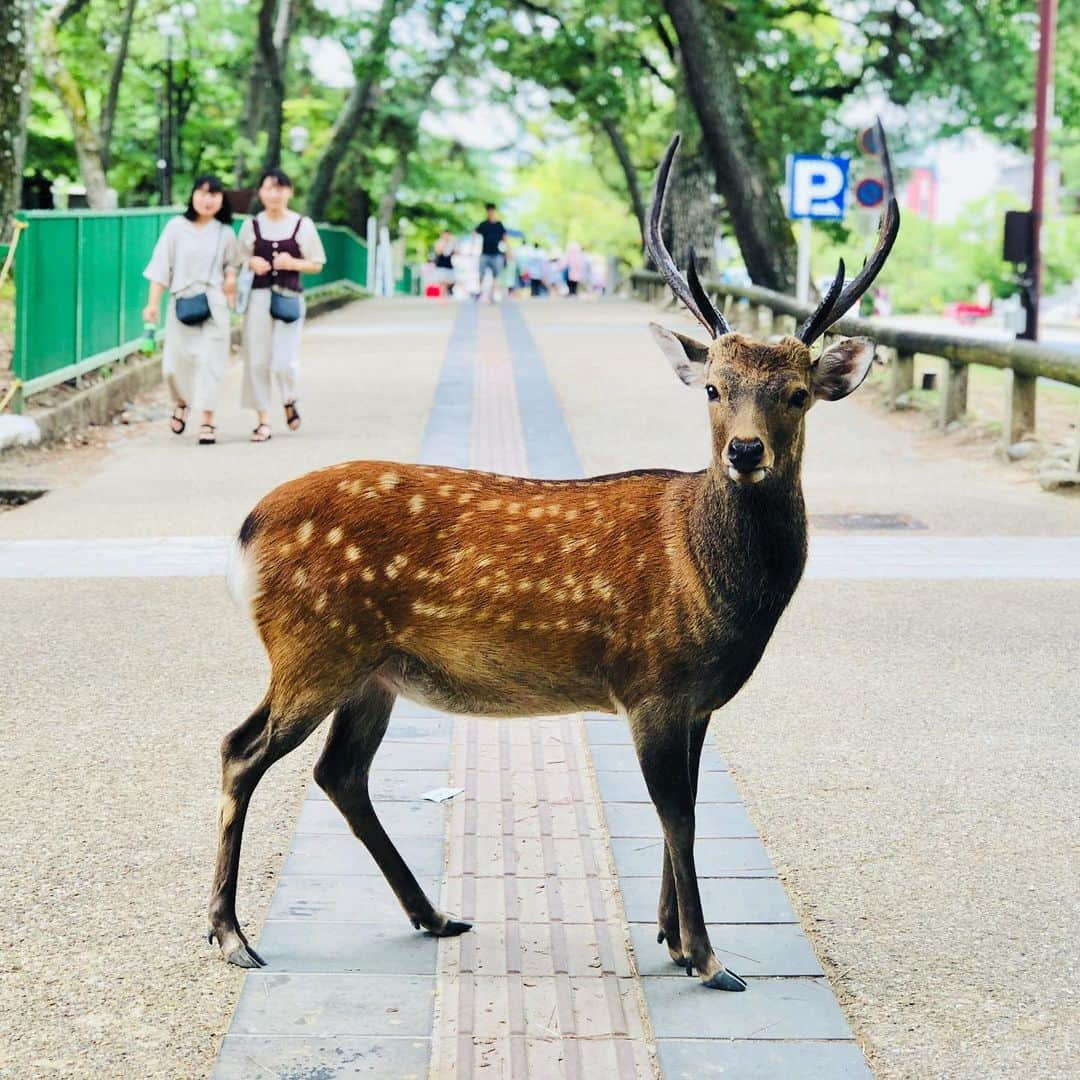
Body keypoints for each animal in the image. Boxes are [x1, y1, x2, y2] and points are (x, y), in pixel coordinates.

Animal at [206, 122, 898, 989]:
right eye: (713, 387)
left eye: (798, 395)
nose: (745, 452)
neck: (718, 592)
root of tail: (246, 529)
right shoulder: (652, 682)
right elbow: (677, 815)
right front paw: (708, 959)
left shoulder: (697, 700)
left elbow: (683, 813)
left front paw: (671, 939)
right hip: (313, 647)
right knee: (241, 749)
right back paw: (232, 935)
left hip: (373, 669)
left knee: (340, 773)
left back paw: (434, 914)